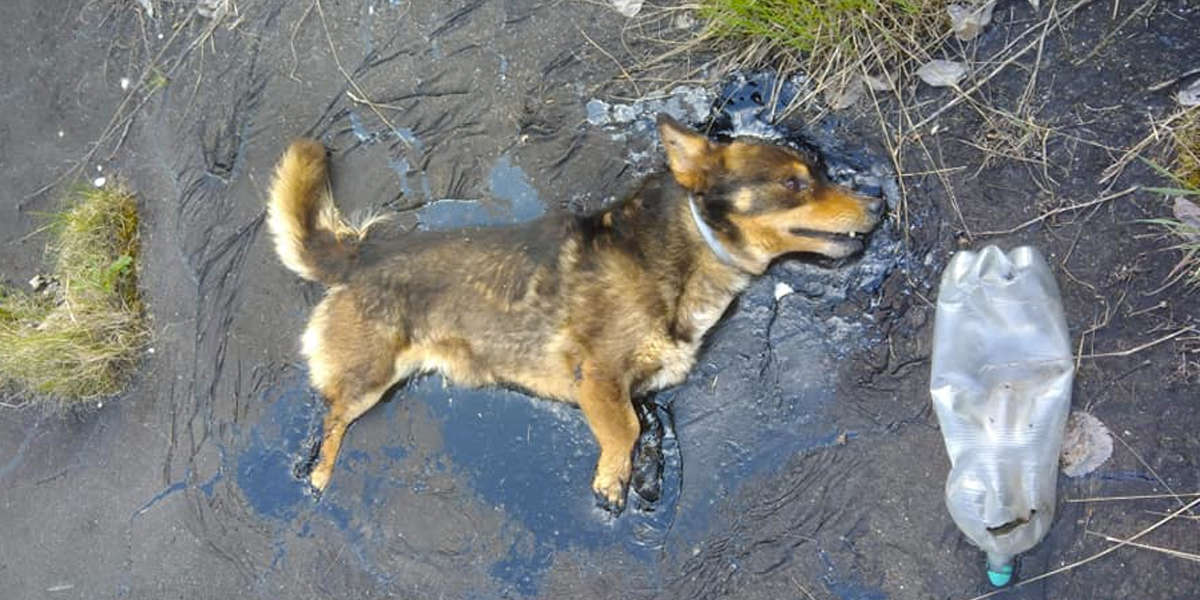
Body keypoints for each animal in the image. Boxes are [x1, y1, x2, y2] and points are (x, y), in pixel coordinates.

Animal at [270, 114, 883, 513]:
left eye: (820, 174)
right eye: (793, 183)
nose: (880, 202)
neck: (686, 251)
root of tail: (359, 253)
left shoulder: (642, 388)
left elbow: (642, 427)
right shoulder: (599, 376)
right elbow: (625, 429)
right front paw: (613, 479)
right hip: (368, 378)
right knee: (331, 419)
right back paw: (319, 472)